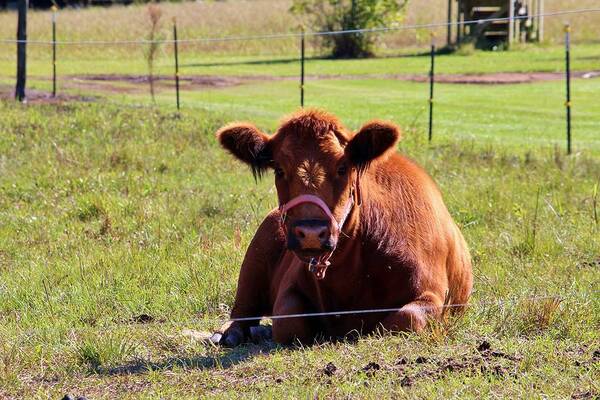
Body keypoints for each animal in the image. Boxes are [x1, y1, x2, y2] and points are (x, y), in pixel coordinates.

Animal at [216, 108, 474, 346]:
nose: (311, 233)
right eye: (279, 170)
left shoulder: (431, 293)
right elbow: (290, 321)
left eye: (343, 168)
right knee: (243, 309)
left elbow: (405, 318)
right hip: (255, 258)